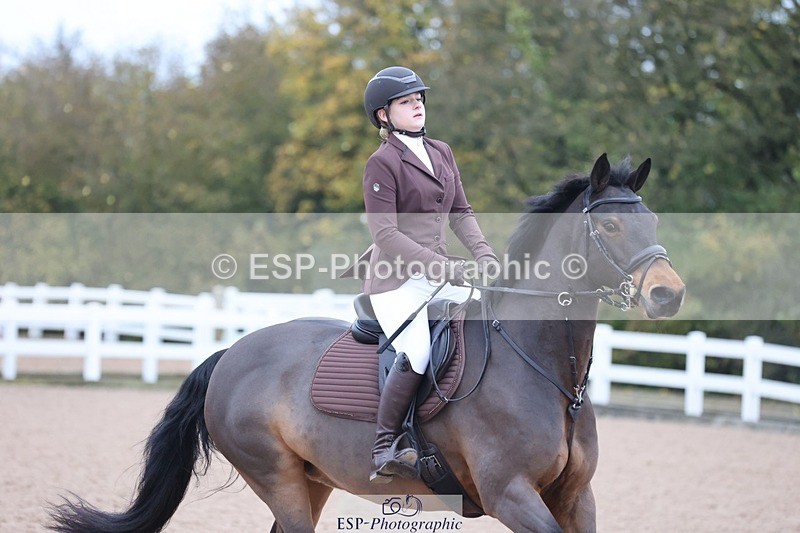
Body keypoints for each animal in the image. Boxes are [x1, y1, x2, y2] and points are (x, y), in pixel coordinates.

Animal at [48, 153, 685, 532]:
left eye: (653, 222)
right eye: (609, 226)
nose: (668, 295)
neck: (544, 371)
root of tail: (232, 354)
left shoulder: (576, 496)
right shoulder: (511, 494)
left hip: (312, 481)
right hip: (277, 476)